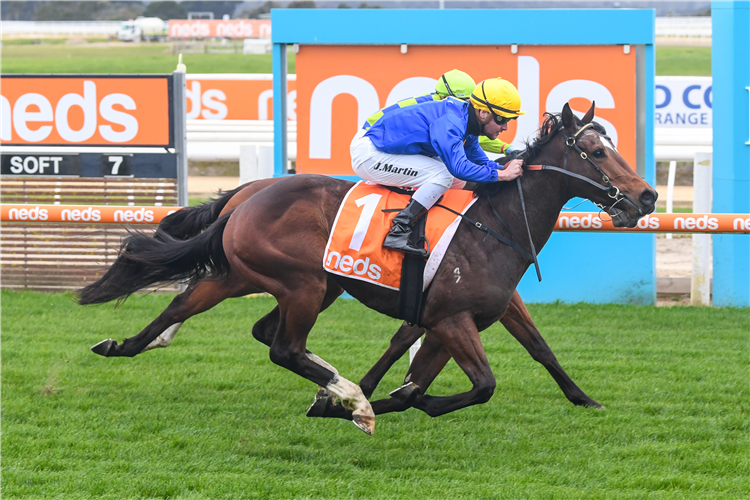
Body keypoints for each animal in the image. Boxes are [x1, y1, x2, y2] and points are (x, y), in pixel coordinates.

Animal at [78, 102, 656, 434]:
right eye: (596, 151)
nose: (646, 196)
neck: (495, 223)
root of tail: (246, 199)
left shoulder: (470, 314)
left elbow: (536, 350)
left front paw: (585, 399)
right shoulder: (450, 319)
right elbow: (475, 386)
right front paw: (361, 400)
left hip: (250, 275)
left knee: (192, 304)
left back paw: (123, 344)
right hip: (305, 284)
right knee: (283, 347)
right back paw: (350, 397)